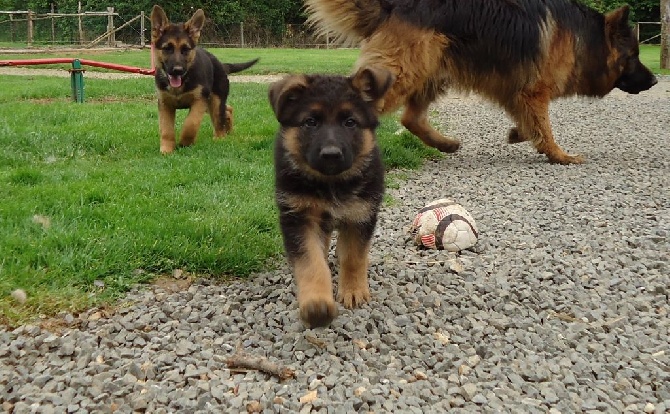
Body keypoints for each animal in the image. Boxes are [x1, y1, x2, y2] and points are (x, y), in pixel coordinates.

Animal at [152, 4, 260, 154]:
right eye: (167, 48)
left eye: (186, 49)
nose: (177, 70)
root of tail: (221, 64)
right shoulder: (164, 104)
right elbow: (166, 129)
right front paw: (167, 150)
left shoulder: (199, 101)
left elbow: (191, 123)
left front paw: (185, 142)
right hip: (210, 102)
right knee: (227, 110)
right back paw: (228, 131)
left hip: (215, 99)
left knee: (220, 116)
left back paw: (220, 137)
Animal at [268, 67, 394, 326]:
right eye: (310, 122)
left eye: (350, 122)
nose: (331, 155)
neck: (331, 184)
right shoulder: (299, 217)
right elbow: (311, 262)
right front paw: (317, 301)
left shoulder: (360, 215)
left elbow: (354, 256)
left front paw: (353, 290)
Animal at [308, 0, 660, 165]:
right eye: (634, 55)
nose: (656, 79)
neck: (585, 38)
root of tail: (396, 5)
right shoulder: (534, 90)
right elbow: (544, 126)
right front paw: (559, 155)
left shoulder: (518, 92)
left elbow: (531, 123)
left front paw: (518, 134)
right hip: (406, 72)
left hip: (433, 73)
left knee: (411, 118)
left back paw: (445, 144)